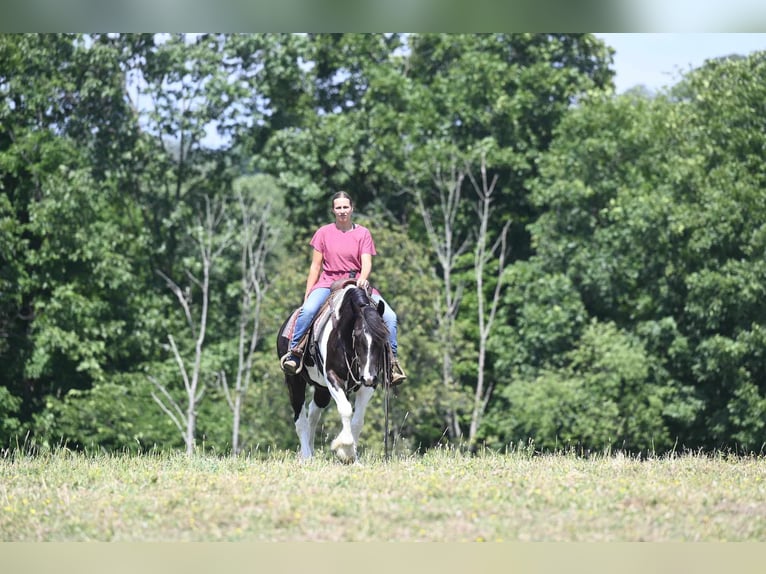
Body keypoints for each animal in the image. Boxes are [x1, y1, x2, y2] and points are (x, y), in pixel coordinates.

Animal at [276, 284, 392, 464]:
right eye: (357, 335)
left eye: (382, 336)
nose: (368, 377)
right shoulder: (333, 377)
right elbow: (345, 410)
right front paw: (345, 451)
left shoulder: (368, 385)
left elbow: (357, 421)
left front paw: (353, 458)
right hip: (294, 380)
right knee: (300, 419)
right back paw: (307, 456)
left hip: (321, 389)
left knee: (313, 414)